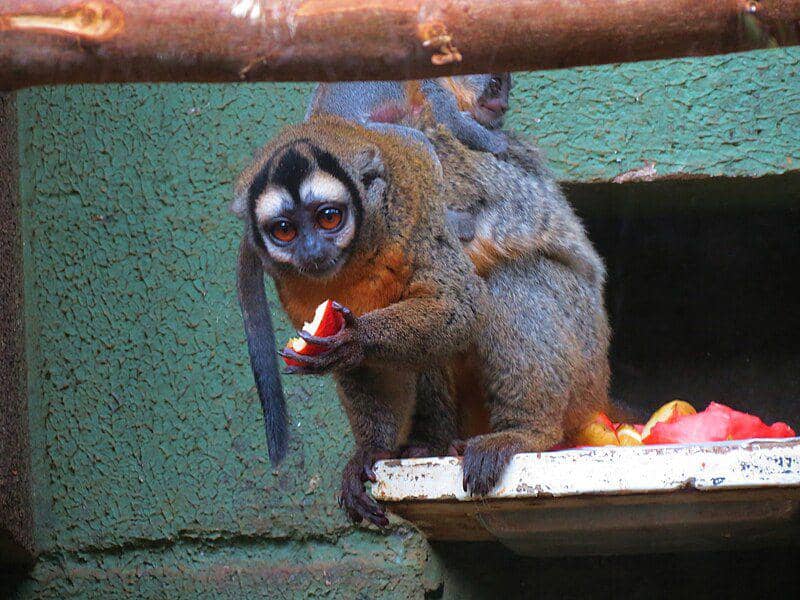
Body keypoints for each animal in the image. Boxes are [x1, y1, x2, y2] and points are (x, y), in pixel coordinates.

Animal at [232, 114, 486, 525]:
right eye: (285, 229)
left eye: (328, 218)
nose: (312, 250)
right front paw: (372, 450)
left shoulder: (404, 227)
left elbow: (460, 305)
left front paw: (353, 340)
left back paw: (426, 443)